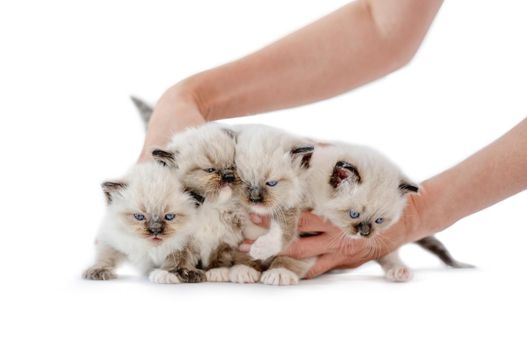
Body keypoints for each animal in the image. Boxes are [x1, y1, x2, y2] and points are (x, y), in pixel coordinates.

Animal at [233, 124, 316, 286]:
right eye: (244, 181)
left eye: (271, 183)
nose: (255, 198)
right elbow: (241, 253)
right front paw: (244, 268)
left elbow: (287, 248)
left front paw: (278, 272)